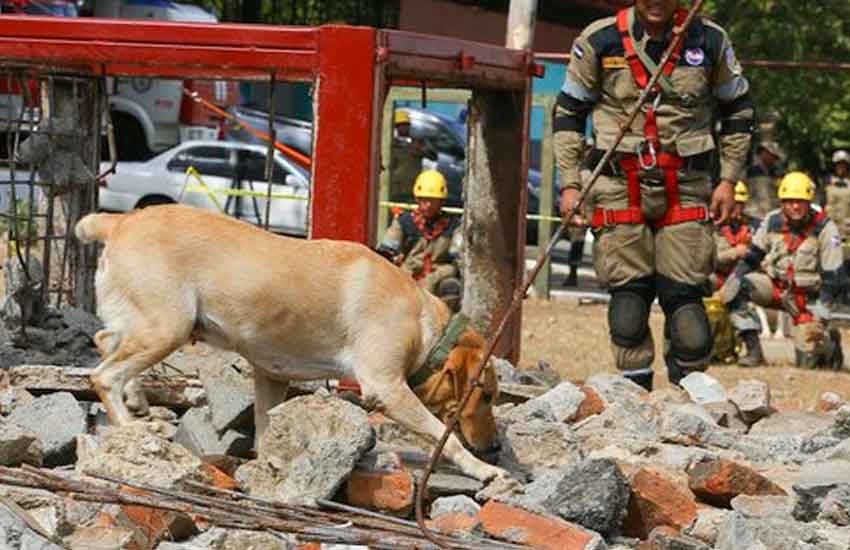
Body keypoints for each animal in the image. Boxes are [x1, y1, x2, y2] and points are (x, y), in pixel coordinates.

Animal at [74, 205, 504, 480]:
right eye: (485, 396)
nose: (496, 448)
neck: (425, 324)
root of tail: (120, 220)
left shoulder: (271, 377)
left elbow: (267, 433)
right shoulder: (386, 388)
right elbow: (443, 434)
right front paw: (484, 470)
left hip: (151, 324)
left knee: (104, 338)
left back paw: (136, 397)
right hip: (168, 327)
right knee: (104, 375)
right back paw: (131, 428)